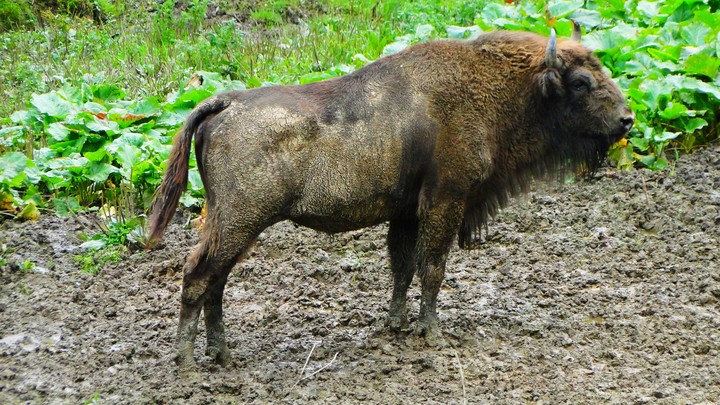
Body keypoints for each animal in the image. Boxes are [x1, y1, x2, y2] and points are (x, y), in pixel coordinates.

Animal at [148, 23, 634, 370]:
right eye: (581, 81)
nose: (627, 119)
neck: (497, 87)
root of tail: (224, 103)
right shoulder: (446, 201)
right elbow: (432, 267)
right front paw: (432, 332)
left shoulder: (406, 212)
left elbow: (403, 266)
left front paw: (397, 325)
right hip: (240, 221)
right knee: (198, 275)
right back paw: (188, 364)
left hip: (235, 226)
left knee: (216, 281)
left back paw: (223, 356)